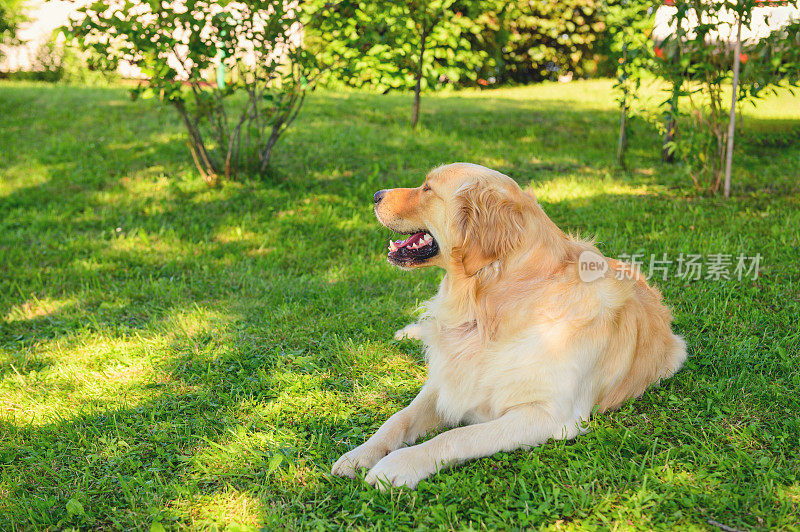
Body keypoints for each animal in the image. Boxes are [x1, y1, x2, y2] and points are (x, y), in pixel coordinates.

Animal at [332, 163, 688, 490]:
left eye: (428, 188)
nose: (375, 195)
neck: (488, 307)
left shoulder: (549, 415)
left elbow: (458, 435)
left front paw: (397, 466)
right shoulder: (446, 380)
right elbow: (398, 419)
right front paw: (359, 455)